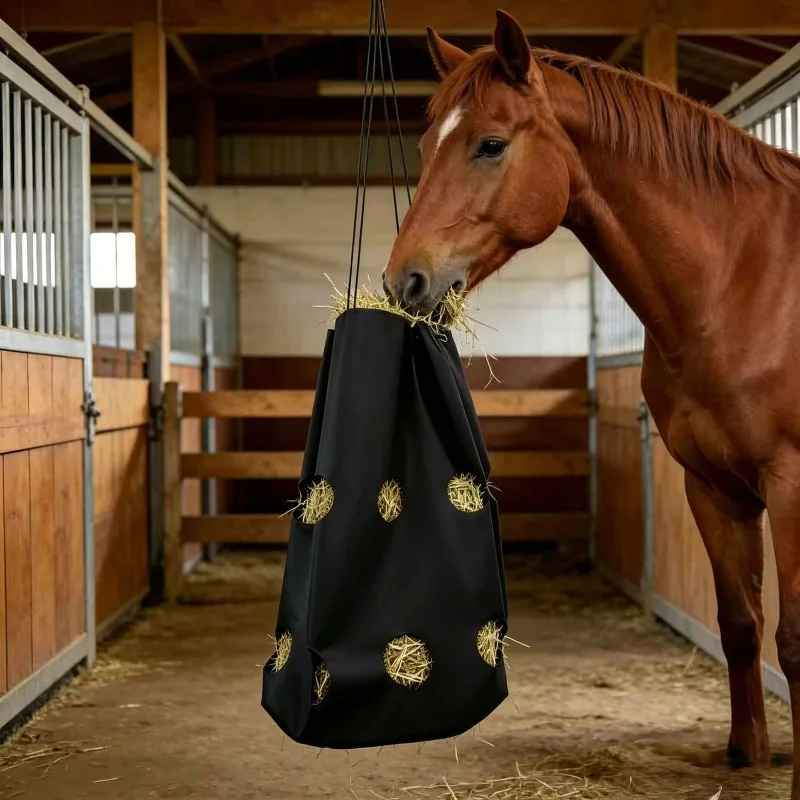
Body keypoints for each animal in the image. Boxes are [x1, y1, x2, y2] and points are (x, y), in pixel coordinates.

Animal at [383, 9, 800, 797]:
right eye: (425, 146)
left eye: (491, 144)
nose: (404, 282)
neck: (744, 277)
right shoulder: (713, 487)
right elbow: (739, 623)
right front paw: (748, 753)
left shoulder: (792, 486)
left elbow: (792, 640)